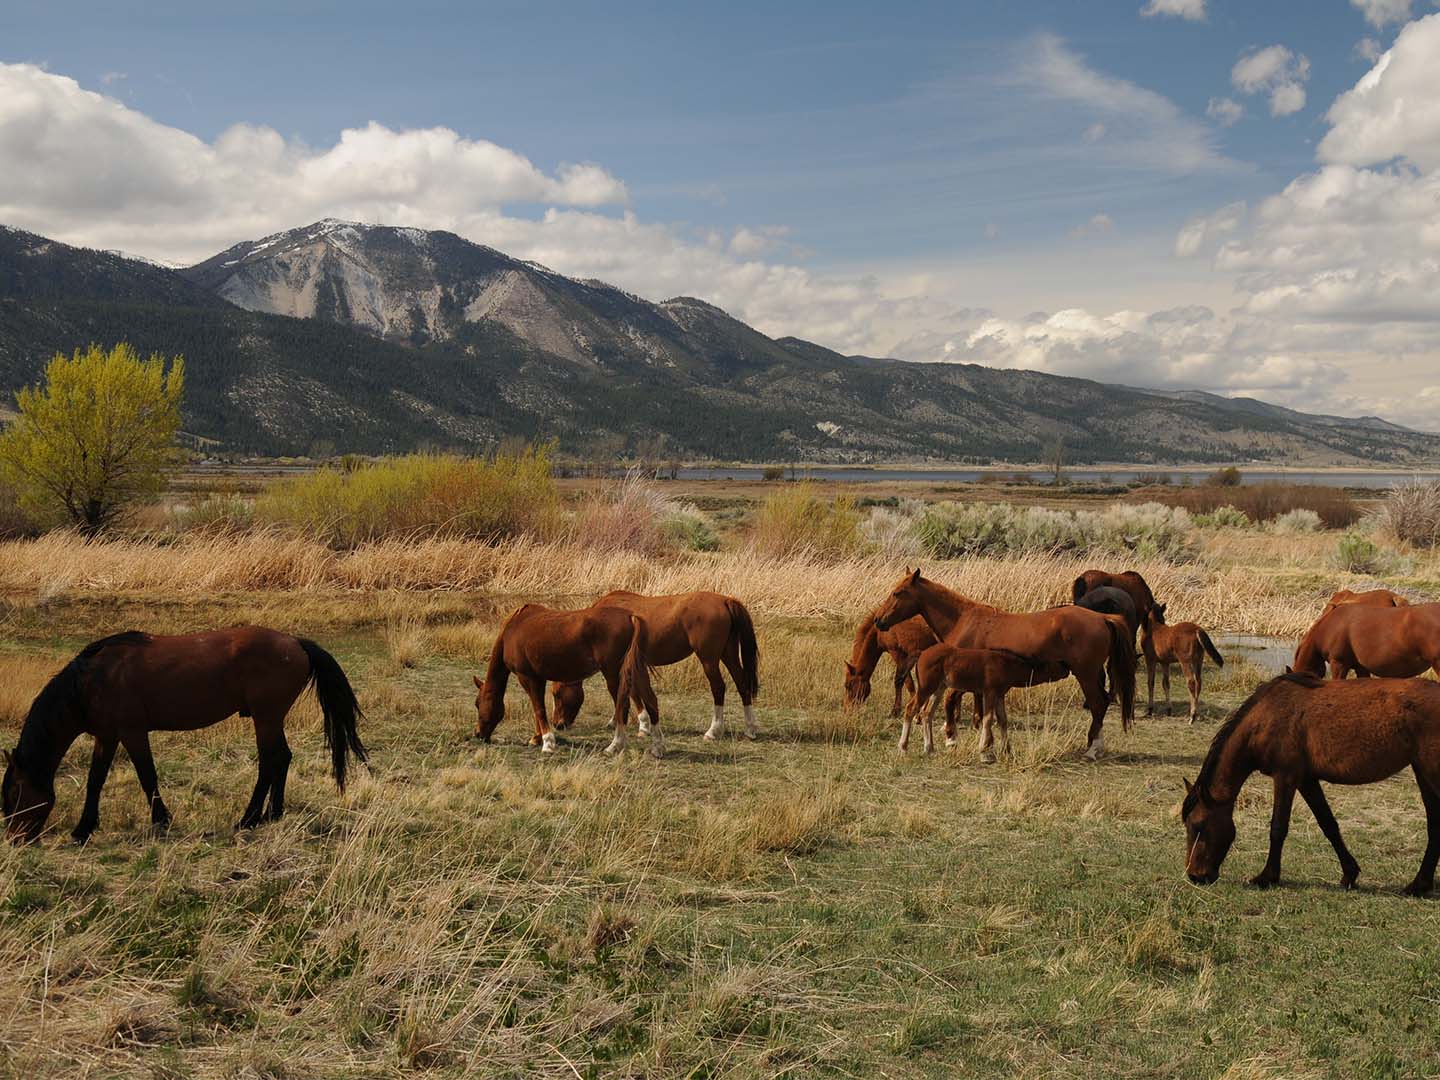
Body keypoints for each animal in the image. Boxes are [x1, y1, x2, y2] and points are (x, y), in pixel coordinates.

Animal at [2, 628, 366, 844]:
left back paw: (249, 818)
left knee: (270, 761)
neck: (91, 681)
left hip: (266, 717)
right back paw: (272, 813)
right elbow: (95, 781)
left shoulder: (132, 732)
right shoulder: (107, 737)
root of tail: (296, 643)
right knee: (282, 758)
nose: (15, 839)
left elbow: (147, 777)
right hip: (271, 718)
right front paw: (83, 829)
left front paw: (161, 820)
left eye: (15, 793)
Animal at [474, 603, 660, 757]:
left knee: (623, 706)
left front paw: (547, 743)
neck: (513, 628)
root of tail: (631, 617)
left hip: (613, 674)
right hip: (637, 671)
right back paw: (657, 747)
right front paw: (537, 738)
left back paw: (615, 745)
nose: (478, 734)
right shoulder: (538, 678)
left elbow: (539, 709)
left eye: (478, 704)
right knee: (651, 701)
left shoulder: (527, 677)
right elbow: (538, 709)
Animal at [550, 590, 758, 740]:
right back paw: (750, 729)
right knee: (742, 684)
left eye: (557, 693)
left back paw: (713, 731)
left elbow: (628, 692)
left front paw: (642, 726)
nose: (557, 724)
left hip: (709, 660)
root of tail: (725, 600)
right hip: (728, 654)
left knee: (719, 688)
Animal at [901, 644, 1066, 760]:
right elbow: (988, 719)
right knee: (910, 709)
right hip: (926, 688)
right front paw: (983, 751)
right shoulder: (990, 693)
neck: (1005, 664)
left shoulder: (999, 696)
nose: (1066, 667)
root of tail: (922, 653)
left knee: (927, 713)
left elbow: (1003, 720)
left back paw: (929, 748)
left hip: (939, 688)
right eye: (1052, 664)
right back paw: (903, 747)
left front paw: (1006, 750)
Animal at [1182, 672, 1440, 895]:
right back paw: (1420, 884)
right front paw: (1349, 874)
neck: (1266, 716)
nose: (1195, 876)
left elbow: (1278, 828)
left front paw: (1267, 877)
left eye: (1199, 825)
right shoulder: (1307, 780)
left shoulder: (1285, 777)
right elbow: (1328, 825)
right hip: (1423, 773)